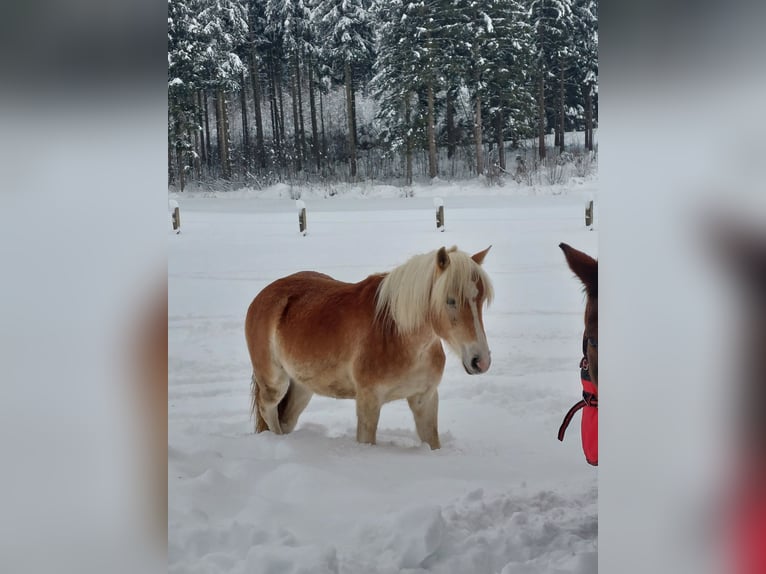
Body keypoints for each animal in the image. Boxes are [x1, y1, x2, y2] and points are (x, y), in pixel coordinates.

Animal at [248, 245, 498, 452]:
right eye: (450, 300)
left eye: (481, 300)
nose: (481, 361)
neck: (398, 335)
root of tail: (262, 296)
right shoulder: (369, 401)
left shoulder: (425, 399)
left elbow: (432, 441)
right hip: (275, 383)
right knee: (269, 412)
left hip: (302, 387)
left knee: (286, 419)